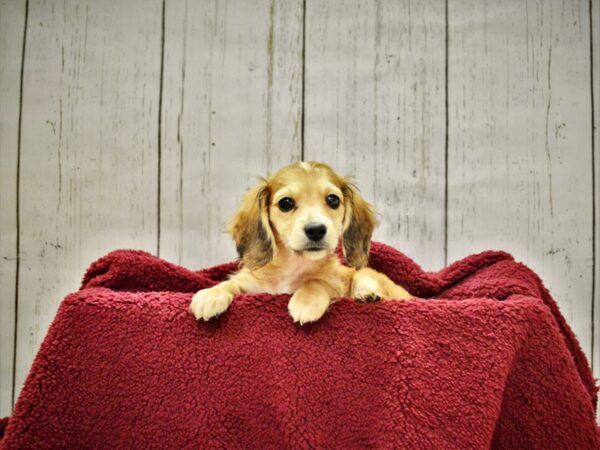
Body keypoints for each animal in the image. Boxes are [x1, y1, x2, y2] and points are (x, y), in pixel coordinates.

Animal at [189, 162, 412, 324]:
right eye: (286, 203)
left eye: (333, 200)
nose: (316, 230)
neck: (292, 266)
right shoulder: (253, 286)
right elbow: (230, 283)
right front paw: (210, 295)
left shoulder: (335, 283)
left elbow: (316, 281)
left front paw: (306, 302)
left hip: (370, 276)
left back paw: (367, 295)